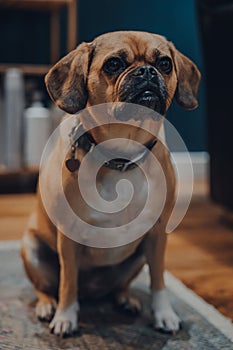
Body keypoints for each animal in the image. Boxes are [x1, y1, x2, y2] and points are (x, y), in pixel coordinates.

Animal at [20, 31, 201, 338]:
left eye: (165, 63)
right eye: (114, 64)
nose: (147, 71)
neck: (122, 155)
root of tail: (93, 292)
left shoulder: (157, 234)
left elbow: (159, 280)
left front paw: (164, 314)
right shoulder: (68, 237)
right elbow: (68, 282)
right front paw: (66, 317)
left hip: (137, 258)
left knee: (120, 286)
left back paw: (125, 300)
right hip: (31, 248)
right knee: (46, 287)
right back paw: (47, 306)